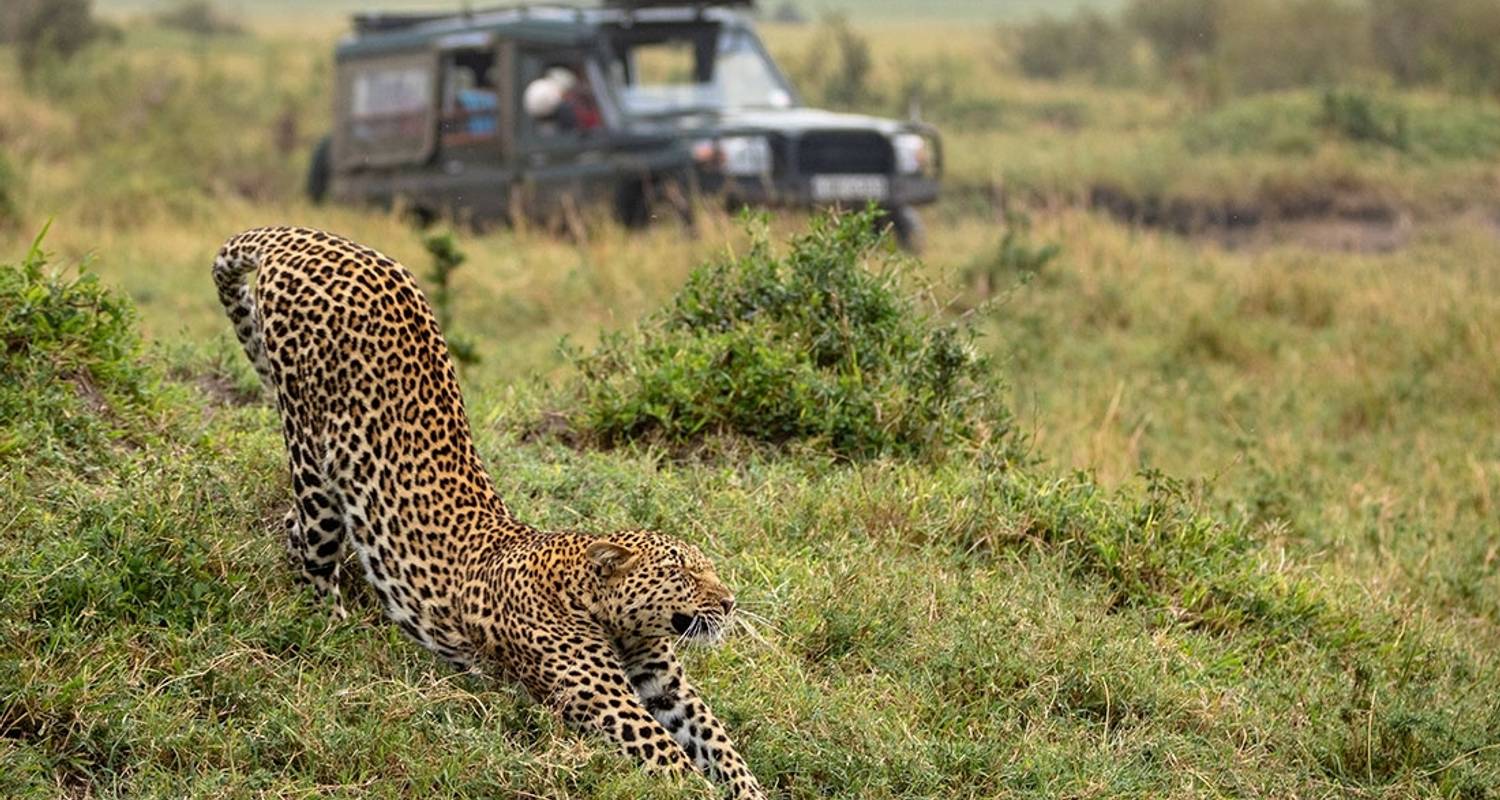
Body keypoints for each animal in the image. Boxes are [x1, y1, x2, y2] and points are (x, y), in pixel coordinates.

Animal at [211, 226, 768, 798]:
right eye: (682, 574)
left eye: (709, 570)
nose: (730, 603)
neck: (607, 613)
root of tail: (307, 235)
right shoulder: (605, 700)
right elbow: (676, 763)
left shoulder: (666, 685)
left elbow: (720, 744)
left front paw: (750, 786)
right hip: (313, 458)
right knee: (314, 559)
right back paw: (334, 634)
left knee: (293, 529)